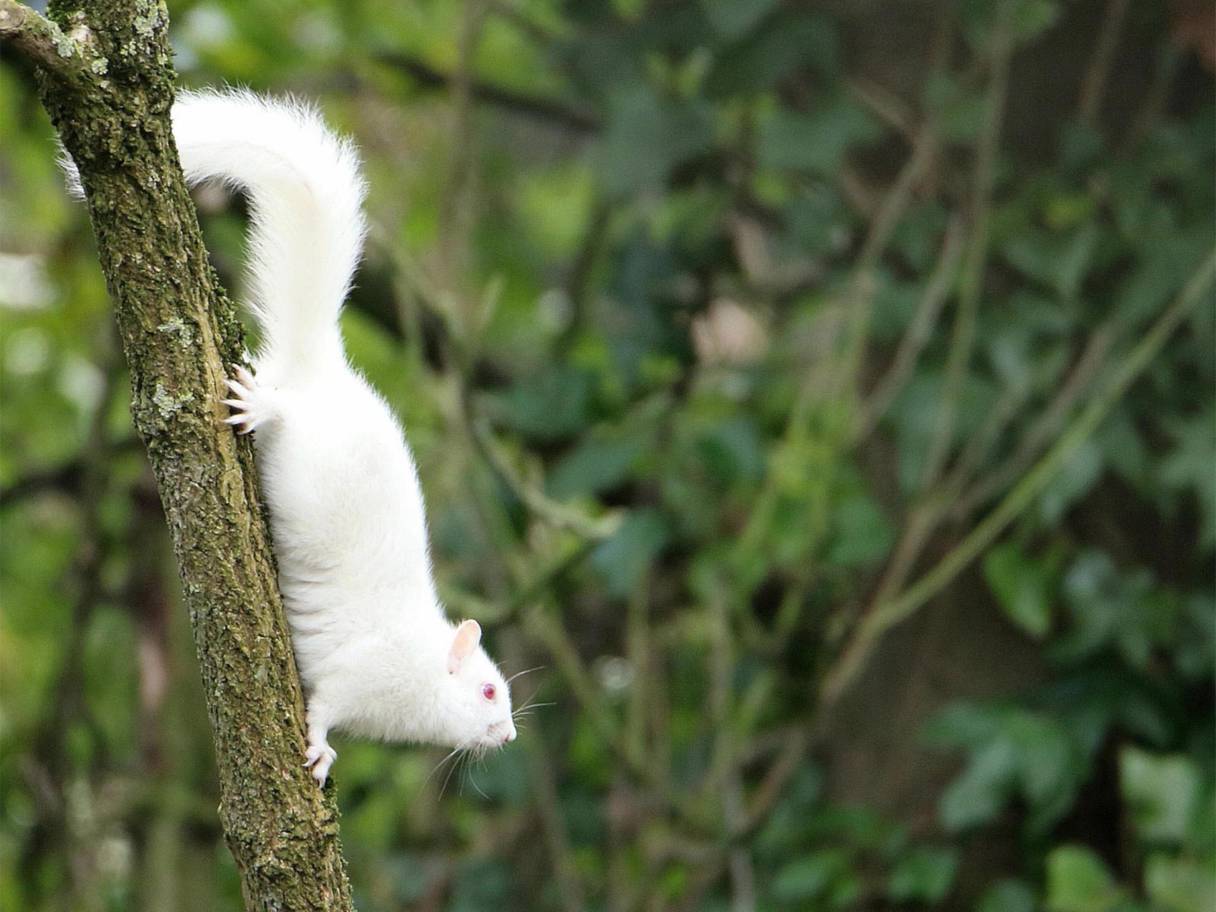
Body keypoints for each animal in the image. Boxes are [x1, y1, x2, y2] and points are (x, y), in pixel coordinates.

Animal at [138, 91, 518, 787]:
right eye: (486, 691)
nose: (506, 734)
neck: (419, 669)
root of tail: (321, 370)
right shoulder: (356, 676)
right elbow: (324, 708)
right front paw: (318, 748)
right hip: (305, 447)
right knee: (286, 415)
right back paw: (262, 406)